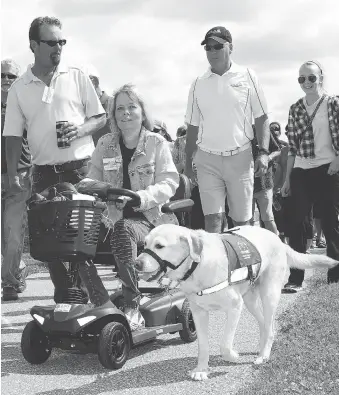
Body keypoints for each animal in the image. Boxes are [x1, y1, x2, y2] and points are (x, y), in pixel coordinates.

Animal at [136, 224, 339, 382]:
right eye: (144, 243)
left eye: (159, 246)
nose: (136, 263)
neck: (198, 266)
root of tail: (278, 238)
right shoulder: (198, 313)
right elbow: (203, 346)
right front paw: (201, 370)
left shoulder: (234, 307)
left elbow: (225, 344)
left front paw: (232, 357)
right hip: (250, 300)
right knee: (264, 324)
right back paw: (261, 347)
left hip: (269, 294)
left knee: (270, 326)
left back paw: (264, 355)